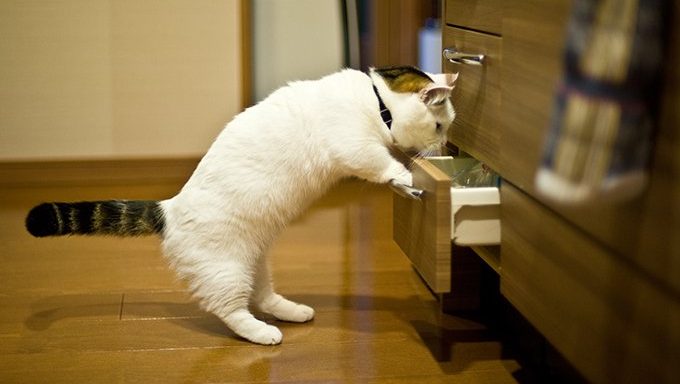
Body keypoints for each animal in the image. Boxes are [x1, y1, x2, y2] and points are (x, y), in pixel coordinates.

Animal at [25, 66, 456, 344]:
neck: (376, 99)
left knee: (262, 295)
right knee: (232, 310)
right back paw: (264, 333)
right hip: (226, 270)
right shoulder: (355, 147)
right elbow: (380, 163)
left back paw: (293, 311)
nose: (444, 147)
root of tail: (169, 209)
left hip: (256, 259)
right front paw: (404, 175)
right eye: (439, 126)